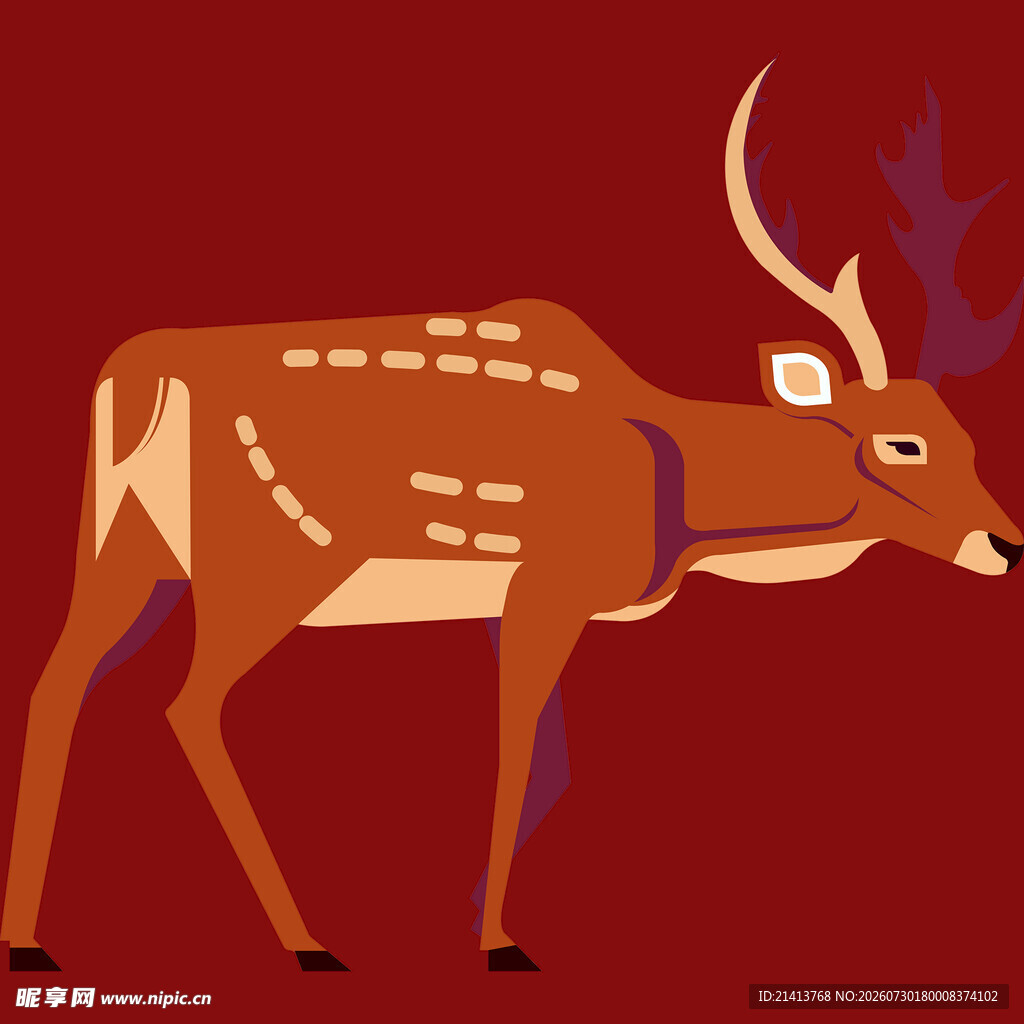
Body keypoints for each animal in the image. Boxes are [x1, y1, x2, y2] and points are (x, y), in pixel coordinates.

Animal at [3, 61, 1021, 973]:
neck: (679, 506)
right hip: (271, 559)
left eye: (965, 435)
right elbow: (520, 744)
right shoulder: (553, 581)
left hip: (127, 548)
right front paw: (497, 943)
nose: (1005, 544)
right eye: (902, 444)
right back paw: (309, 943)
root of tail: (138, 378)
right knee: (189, 702)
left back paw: (31, 941)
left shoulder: (508, 601)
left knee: (60, 683)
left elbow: (540, 751)